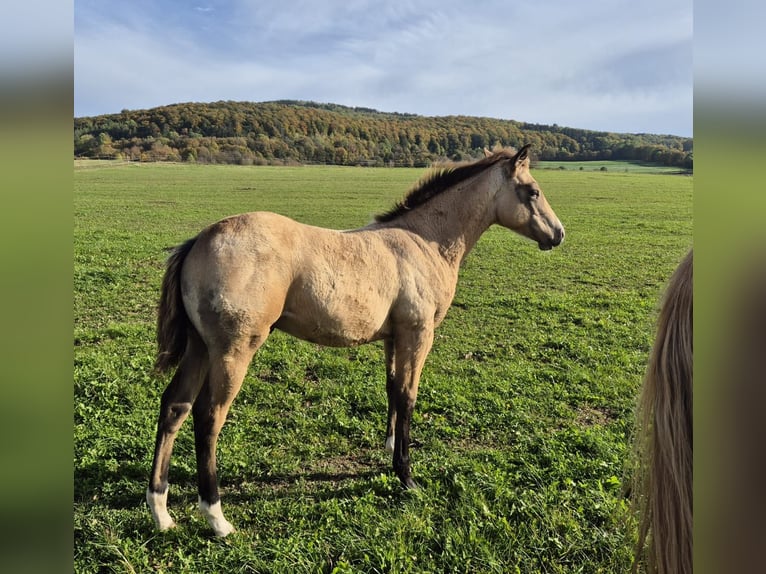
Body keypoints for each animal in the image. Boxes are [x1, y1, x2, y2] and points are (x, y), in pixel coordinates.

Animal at [146, 143, 564, 536]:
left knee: (175, 406)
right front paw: (406, 475)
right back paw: (216, 517)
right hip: (233, 350)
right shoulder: (418, 334)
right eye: (532, 191)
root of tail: (199, 240)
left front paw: (391, 450)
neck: (425, 242)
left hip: (200, 348)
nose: (558, 234)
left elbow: (392, 389)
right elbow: (408, 396)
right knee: (208, 416)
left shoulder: (394, 337)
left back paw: (161, 510)